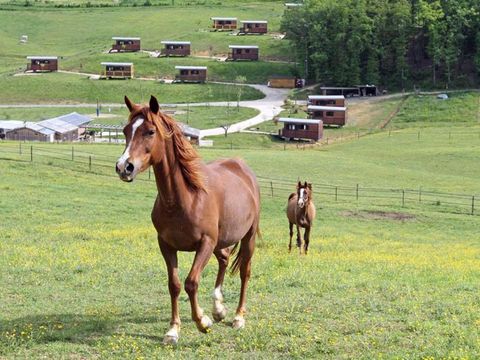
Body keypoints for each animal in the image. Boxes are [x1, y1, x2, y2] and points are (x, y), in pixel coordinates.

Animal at [115, 95, 260, 344]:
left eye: (150, 131)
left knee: (244, 272)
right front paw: (173, 330)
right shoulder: (165, 245)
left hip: (246, 238)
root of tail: (242, 167)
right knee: (224, 259)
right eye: (126, 130)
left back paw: (238, 317)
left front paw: (202, 321)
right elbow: (173, 285)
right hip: (221, 241)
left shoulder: (205, 243)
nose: (124, 167)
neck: (185, 199)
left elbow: (191, 282)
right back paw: (218, 309)